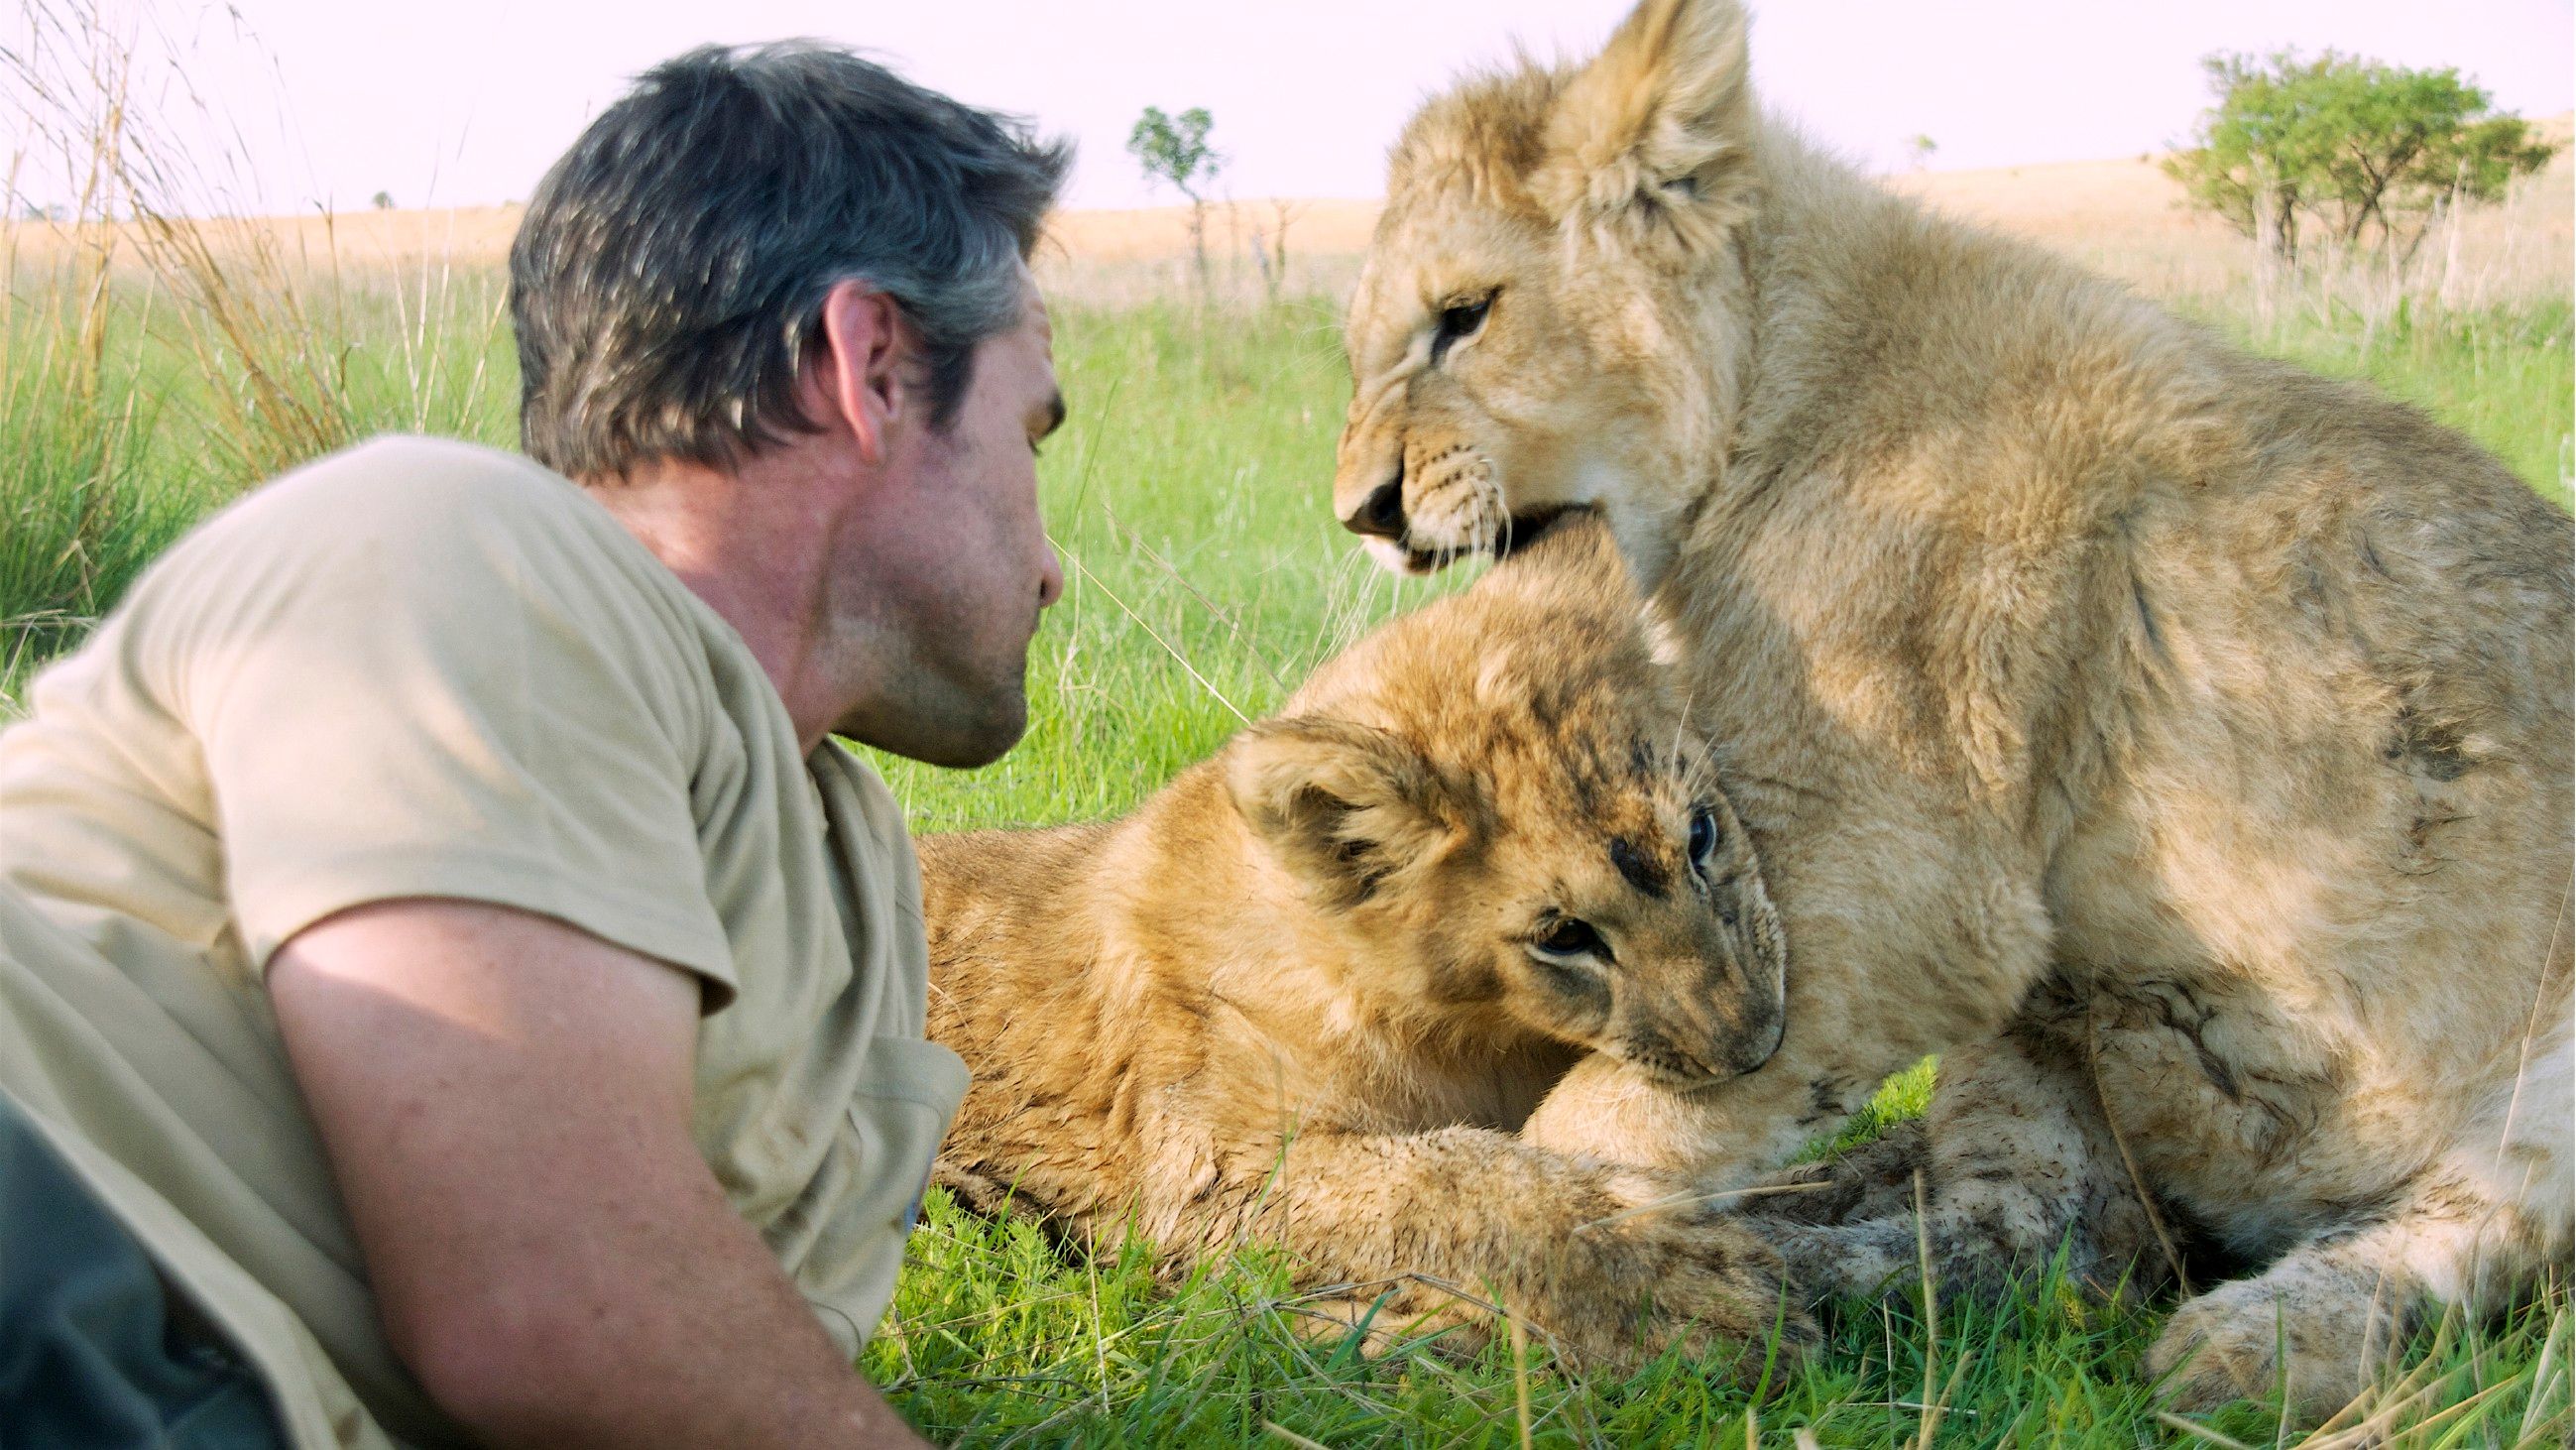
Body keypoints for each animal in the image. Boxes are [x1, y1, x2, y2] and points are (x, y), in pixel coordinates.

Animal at [917, 519, 1813, 1371]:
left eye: (1701, 835)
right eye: (1563, 936)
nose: (1755, 1043)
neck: (1471, 1033)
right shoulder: (1206, 1171)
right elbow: (1446, 1183)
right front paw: (1694, 1289)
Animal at [1329, 0, 2573, 1418]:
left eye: (1464, 315)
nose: (1361, 511)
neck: (1769, 391)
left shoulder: (1895, 890)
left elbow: (1598, 1122)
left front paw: (1508, 1299)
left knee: (2470, 1235)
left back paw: (2267, 1341)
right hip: (2057, 1028)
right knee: (2034, 1239)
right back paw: (1807, 1264)